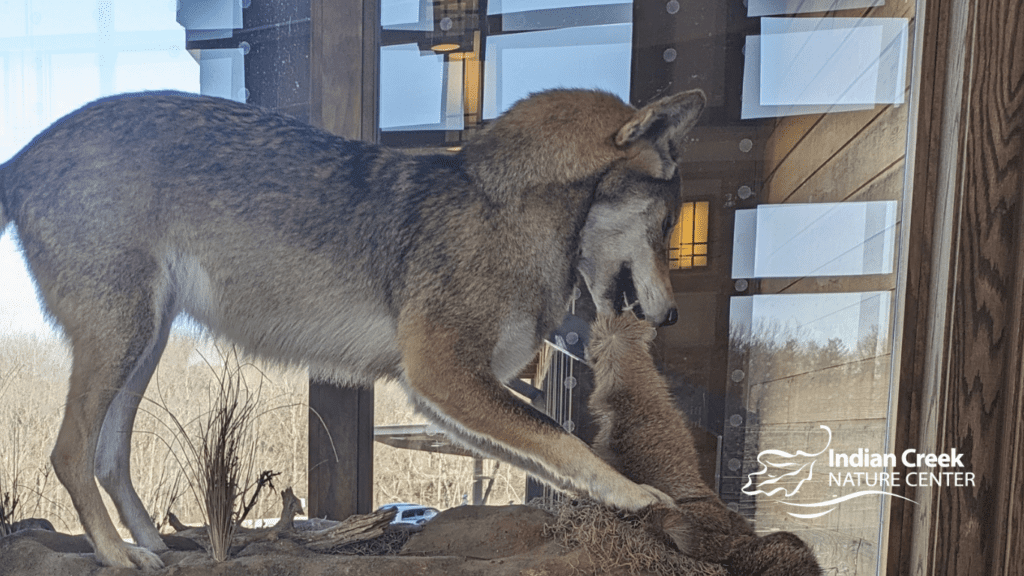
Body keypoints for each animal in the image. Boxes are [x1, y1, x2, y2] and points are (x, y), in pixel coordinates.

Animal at [0, 86, 704, 565]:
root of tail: (25, 155)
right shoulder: (445, 377)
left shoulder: (447, 397)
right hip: (122, 343)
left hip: (143, 347)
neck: (501, 207)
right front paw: (638, 495)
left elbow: (556, 455)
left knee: (109, 457)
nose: (673, 314)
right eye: (669, 224)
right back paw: (117, 556)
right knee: (70, 453)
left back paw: (164, 546)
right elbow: (566, 440)